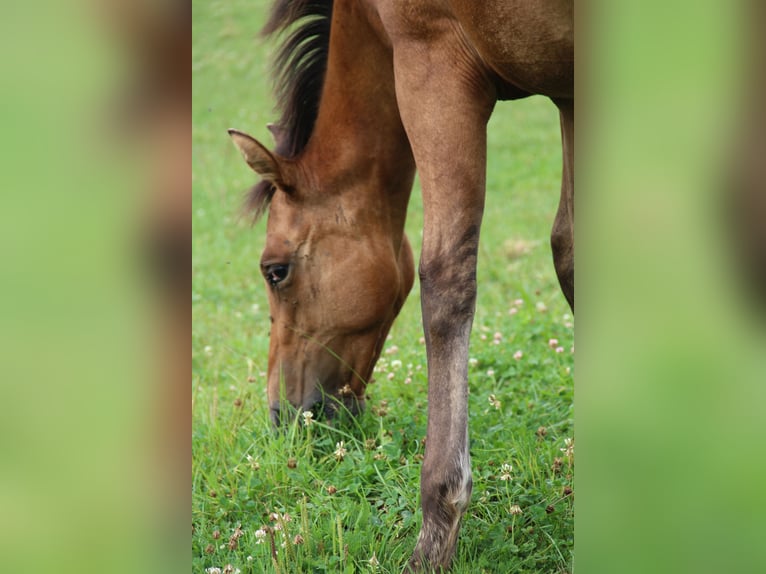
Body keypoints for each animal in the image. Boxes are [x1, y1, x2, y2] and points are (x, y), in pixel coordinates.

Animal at [231, 0, 572, 572]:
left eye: (274, 270)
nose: (281, 416)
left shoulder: (431, 63)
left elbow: (446, 278)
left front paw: (435, 534)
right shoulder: (569, 91)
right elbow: (570, 252)